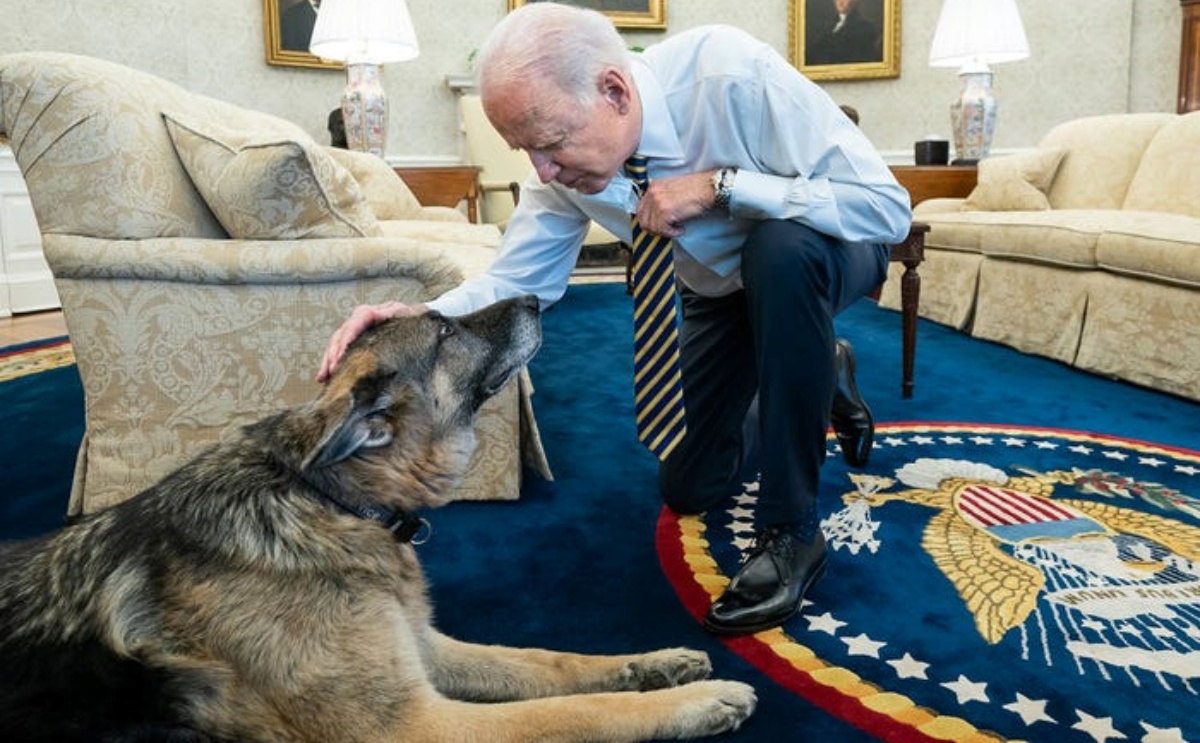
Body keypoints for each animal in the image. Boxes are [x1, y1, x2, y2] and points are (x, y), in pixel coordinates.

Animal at [0, 297, 753, 743]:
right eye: (445, 329)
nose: (537, 298)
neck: (329, 501)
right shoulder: (417, 724)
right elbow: (569, 711)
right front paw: (695, 701)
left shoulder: (425, 650)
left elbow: (550, 661)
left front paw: (655, 664)